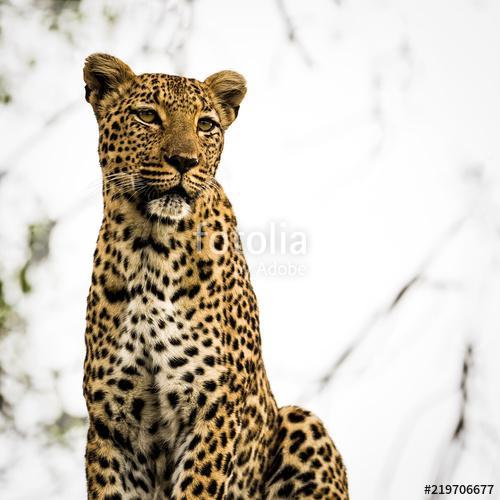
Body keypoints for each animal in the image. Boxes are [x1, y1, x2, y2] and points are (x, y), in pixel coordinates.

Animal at [83, 52, 348, 498]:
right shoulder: (111, 424)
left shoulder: (213, 407)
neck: (149, 249)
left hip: (303, 422)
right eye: (147, 116)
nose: (184, 161)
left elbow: (198, 486)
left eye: (205, 124)